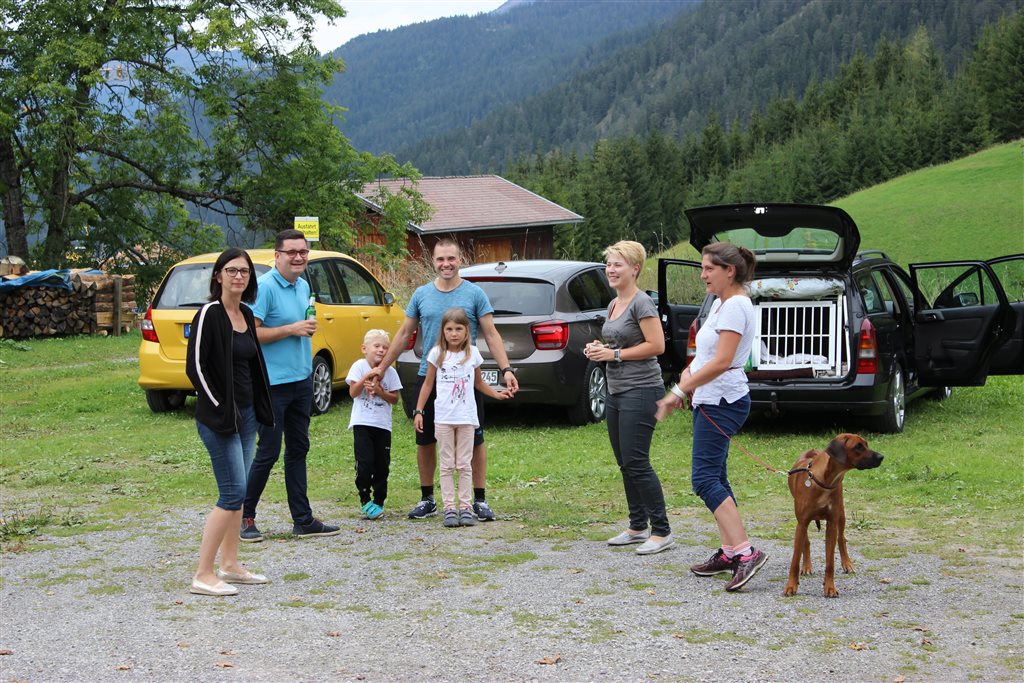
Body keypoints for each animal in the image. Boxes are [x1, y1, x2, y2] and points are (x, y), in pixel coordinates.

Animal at [783, 433, 884, 598]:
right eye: (858, 446)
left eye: (866, 444)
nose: (882, 457)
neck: (825, 481)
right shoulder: (802, 523)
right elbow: (795, 560)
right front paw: (791, 586)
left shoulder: (832, 523)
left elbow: (830, 562)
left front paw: (830, 587)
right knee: (806, 542)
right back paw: (807, 566)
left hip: (841, 515)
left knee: (841, 539)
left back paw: (847, 564)